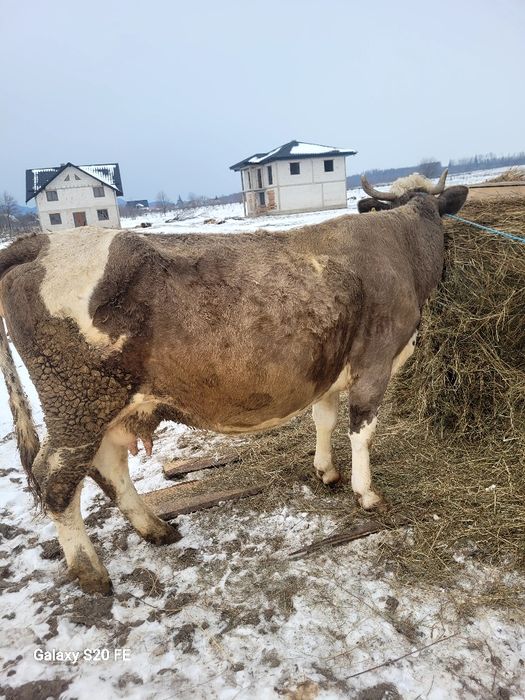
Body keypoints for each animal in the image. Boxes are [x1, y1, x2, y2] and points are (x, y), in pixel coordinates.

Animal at [0, 178, 468, 594]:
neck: (401, 241)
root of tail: (43, 243)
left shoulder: (333, 369)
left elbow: (324, 419)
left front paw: (326, 471)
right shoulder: (375, 361)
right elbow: (362, 433)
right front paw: (367, 495)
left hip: (104, 406)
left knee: (108, 466)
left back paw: (155, 528)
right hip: (78, 400)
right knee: (55, 478)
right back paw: (90, 571)